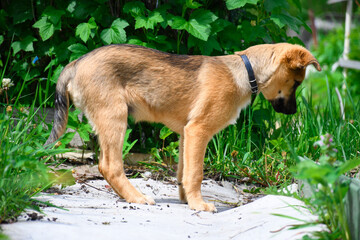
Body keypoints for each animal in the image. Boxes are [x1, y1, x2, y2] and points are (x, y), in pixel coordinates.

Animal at [45, 43, 320, 212]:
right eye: (297, 83)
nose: (293, 112)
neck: (245, 70)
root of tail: (75, 63)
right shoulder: (199, 130)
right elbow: (196, 173)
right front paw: (199, 205)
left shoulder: (187, 133)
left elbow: (184, 172)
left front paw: (188, 200)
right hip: (115, 117)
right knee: (109, 166)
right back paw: (137, 198)